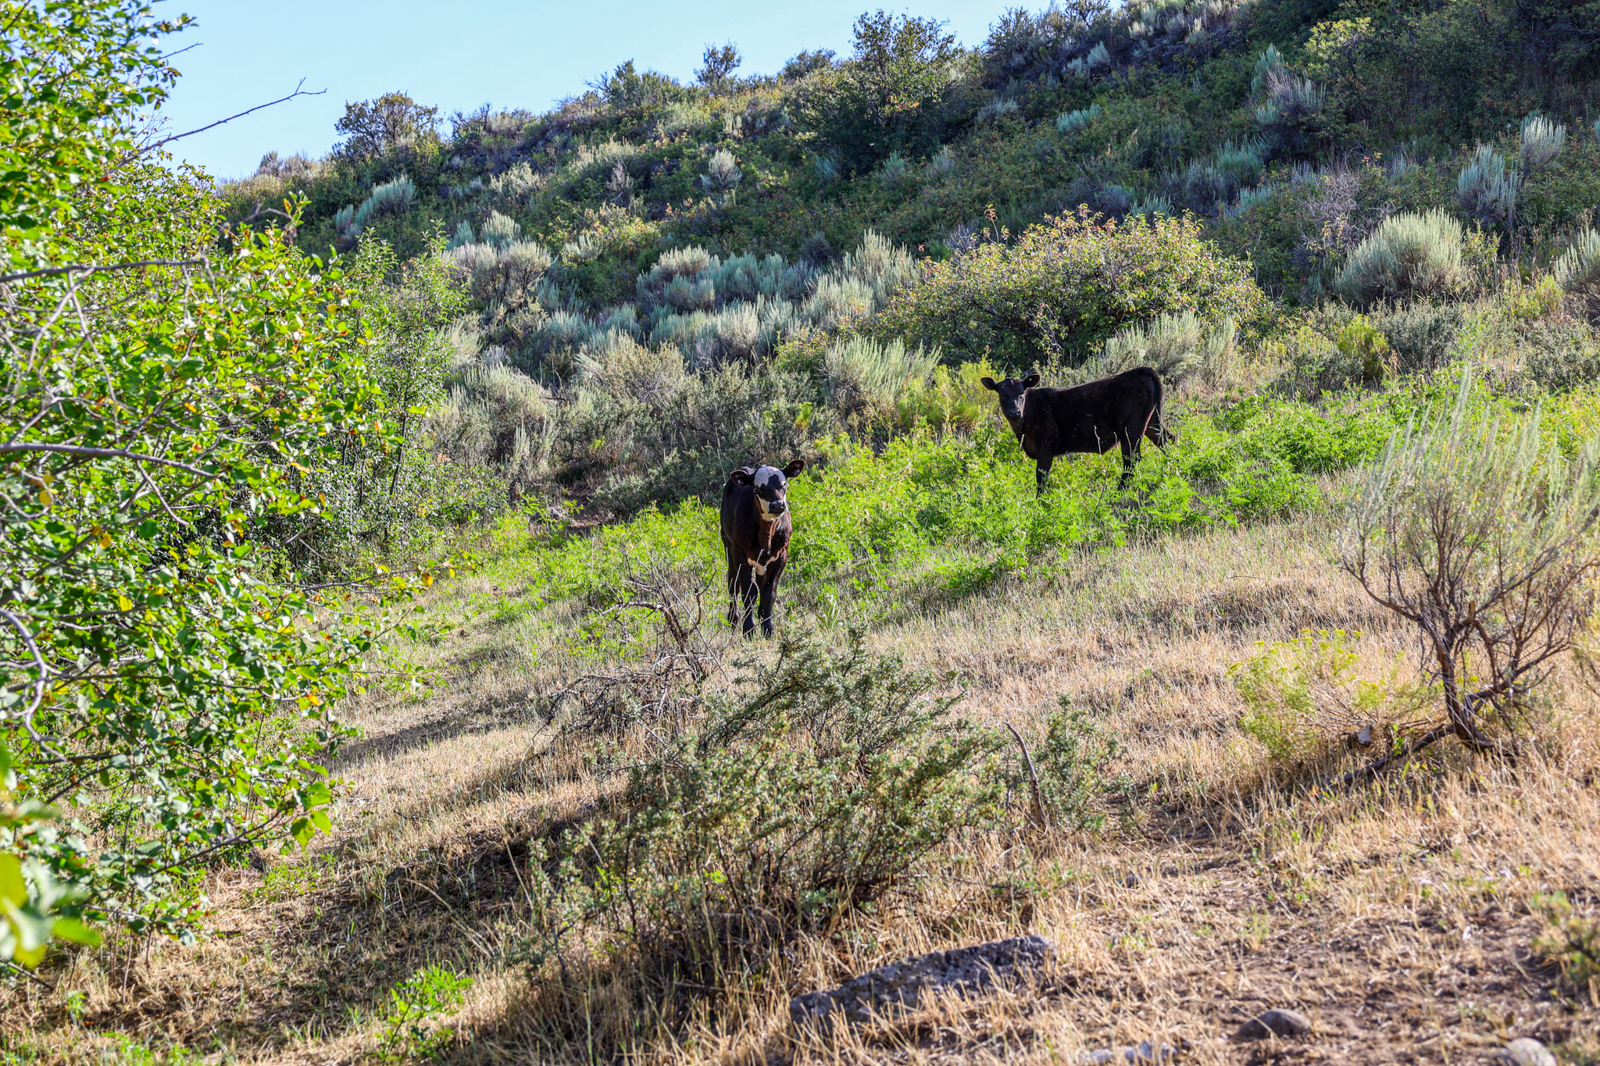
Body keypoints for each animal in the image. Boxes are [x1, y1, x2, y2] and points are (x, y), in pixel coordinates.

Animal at [720, 459, 805, 637]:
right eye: (758, 489)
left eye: (784, 484)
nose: (778, 505)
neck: (766, 535)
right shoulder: (740, 554)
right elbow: (748, 591)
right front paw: (749, 629)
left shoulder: (781, 555)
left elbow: (768, 591)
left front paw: (768, 628)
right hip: (728, 548)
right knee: (733, 584)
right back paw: (732, 618)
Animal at [982, 367, 1173, 493]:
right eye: (1002, 395)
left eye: (1021, 393)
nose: (1015, 412)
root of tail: (1142, 371)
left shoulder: (1046, 446)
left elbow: (1041, 478)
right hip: (1152, 423)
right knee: (1168, 442)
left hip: (1131, 431)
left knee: (1131, 460)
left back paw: (1118, 493)